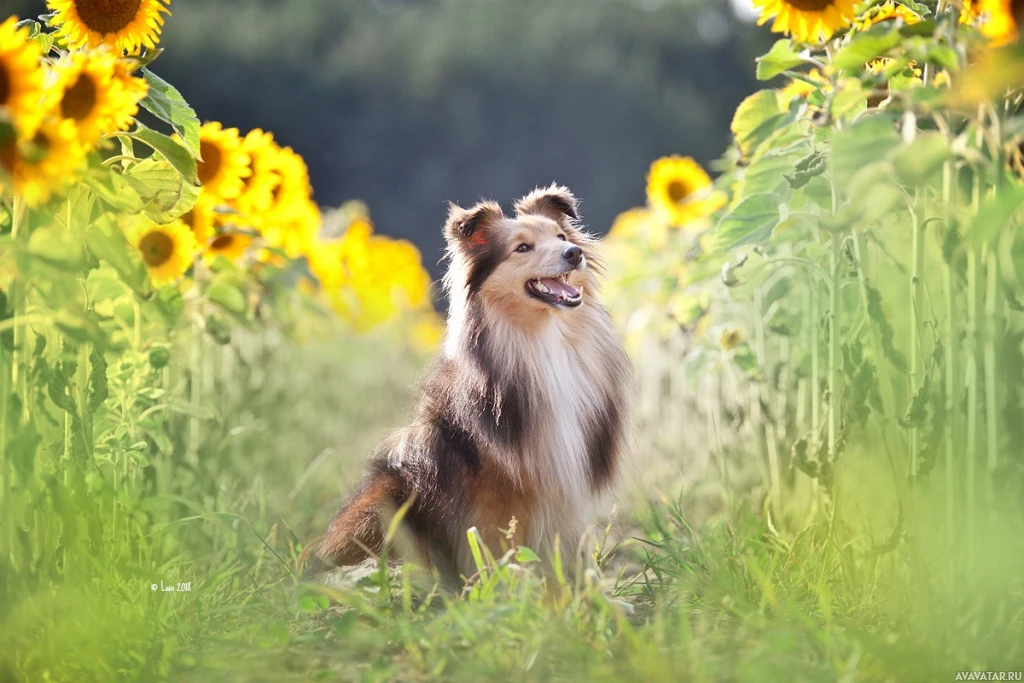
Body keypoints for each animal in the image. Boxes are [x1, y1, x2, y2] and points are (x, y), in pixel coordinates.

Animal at [299, 185, 626, 589]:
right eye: (522, 247)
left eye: (562, 236)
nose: (573, 254)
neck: (542, 341)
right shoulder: (493, 497)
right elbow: (500, 551)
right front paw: (509, 592)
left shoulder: (566, 493)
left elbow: (568, 558)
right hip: (386, 499)